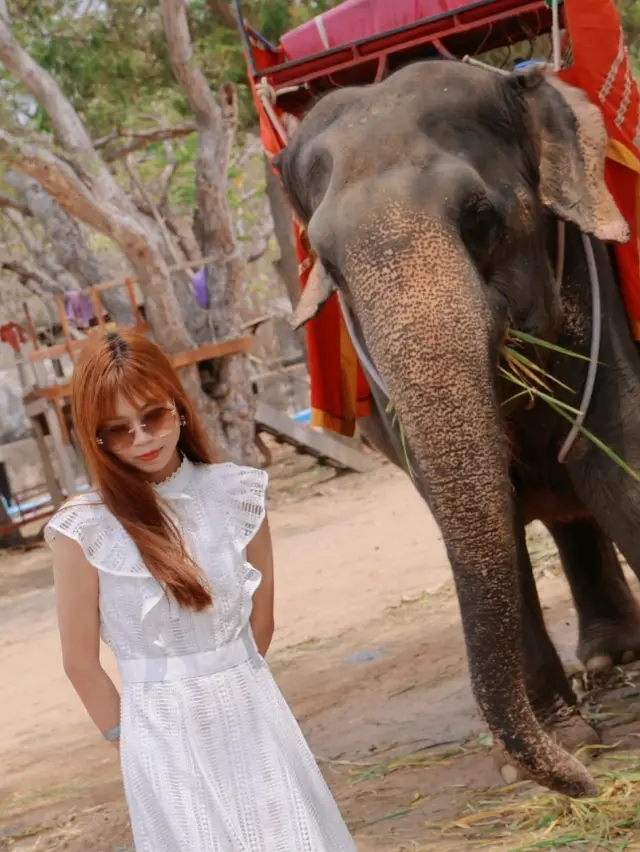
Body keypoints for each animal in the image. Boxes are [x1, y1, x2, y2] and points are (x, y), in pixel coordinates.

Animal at [276, 61, 640, 800]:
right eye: (328, 265)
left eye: (481, 220)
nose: (585, 786)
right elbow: (479, 515)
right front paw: (563, 746)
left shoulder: (592, 277)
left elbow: (615, 464)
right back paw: (607, 660)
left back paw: (614, 660)